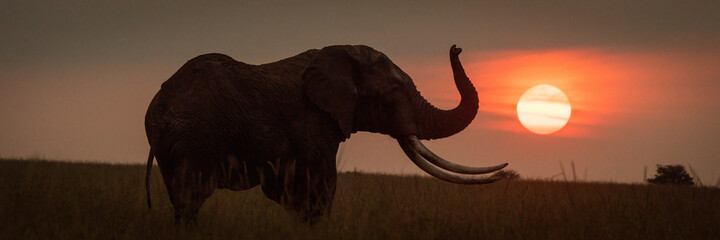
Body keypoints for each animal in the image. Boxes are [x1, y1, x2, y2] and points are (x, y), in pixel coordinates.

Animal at [145, 44, 506, 224]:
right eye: (394, 90)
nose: (457, 48)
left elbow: (287, 191)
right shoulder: (311, 119)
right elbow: (320, 184)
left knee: (180, 197)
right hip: (196, 136)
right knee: (191, 195)